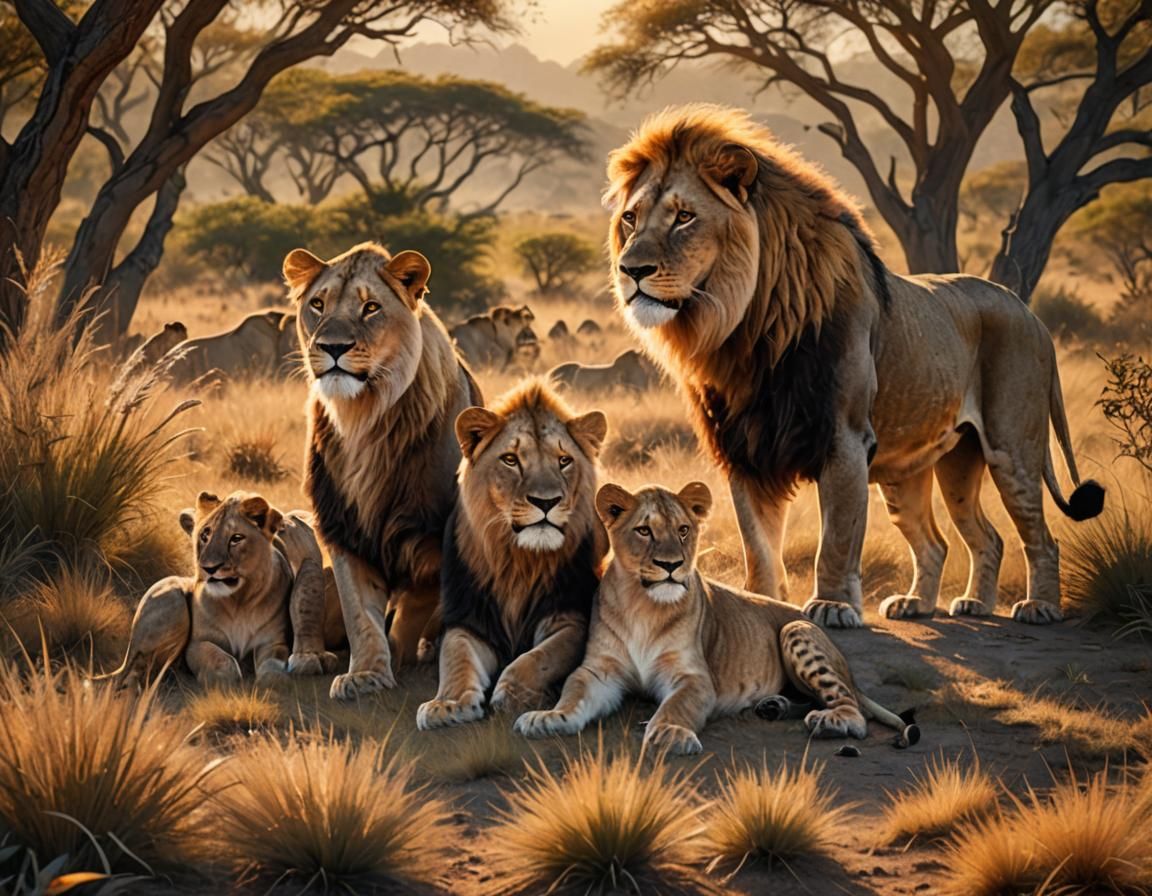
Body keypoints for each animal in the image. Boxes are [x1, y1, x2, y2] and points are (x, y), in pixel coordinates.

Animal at [104, 491, 343, 689]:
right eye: (204, 536)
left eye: (236, 538)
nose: (209, 568)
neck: (239, 601)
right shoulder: (197, 644)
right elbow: (220, 660)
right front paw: (224, 676)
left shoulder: (271, 641)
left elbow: (273, 664)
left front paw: (278, 675)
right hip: (171, 596)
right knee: (135, 668)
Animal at [283, 241, 482, 699]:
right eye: (317, 305)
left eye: (370, 307)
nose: (333, 347)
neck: (365, 419)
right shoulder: (344, 527)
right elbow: (360, 613)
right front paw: (367, 674)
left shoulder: (434, 533)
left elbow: (416, 602)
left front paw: (401, 649)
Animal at [416, 381, 607, 730]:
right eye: (510, 459)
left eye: (564, 460)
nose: (546, 502)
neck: (520, 561)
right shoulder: (468, 619)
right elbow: (455, 658)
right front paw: (447, 704)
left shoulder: (570, 616)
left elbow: (537, 658)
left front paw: (513, 695)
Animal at [515, 482, 918, 756]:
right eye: (644, 530)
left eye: (683, 529)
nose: (672, 565)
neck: (642, 605)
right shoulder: (599, 670)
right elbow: (573, 692)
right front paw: (547, 717)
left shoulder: (693, 677)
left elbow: (677, 705)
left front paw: (670, 733)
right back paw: (775, 705)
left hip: (797, 629)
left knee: (854, 713)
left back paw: (828, 720)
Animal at [604, 105, 1103, 630]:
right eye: (631, 218)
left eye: (684, 217)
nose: (630, 270)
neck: (748, 331)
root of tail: (1028, 312)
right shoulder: (745, 447)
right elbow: (758, 545)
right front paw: (760, 600)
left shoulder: (844, 439)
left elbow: (838, 537)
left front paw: (833, 605)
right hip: (931, 469)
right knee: (963, 539)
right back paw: (941, 602)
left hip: (1013, 451)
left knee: (1040, 537)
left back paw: (1040, 606)